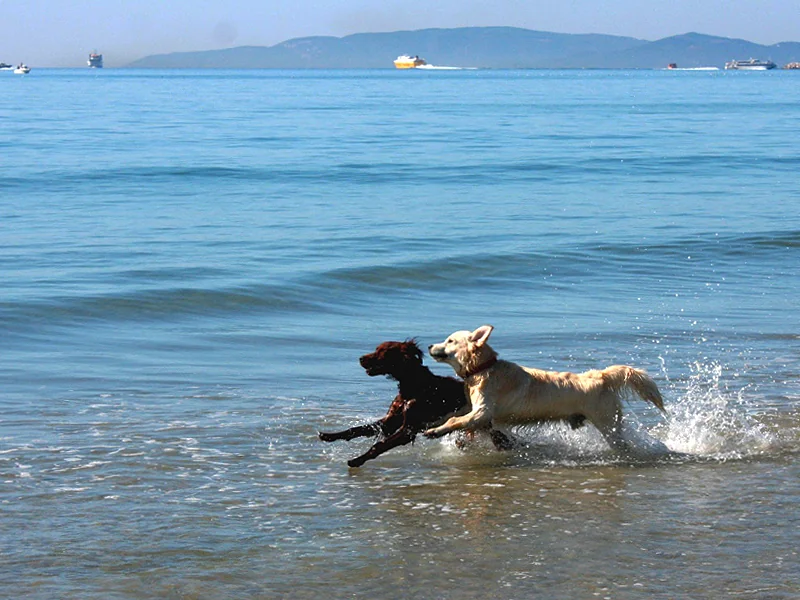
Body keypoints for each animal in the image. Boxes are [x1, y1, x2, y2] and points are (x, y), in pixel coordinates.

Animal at [316, 340, 516, 466]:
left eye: (382, 352)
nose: (361, 359)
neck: (414, 386)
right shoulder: (391, 422)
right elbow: (357, 430)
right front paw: (328, 435)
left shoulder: (408, 429)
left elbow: (378, 446)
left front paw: (357, 460)